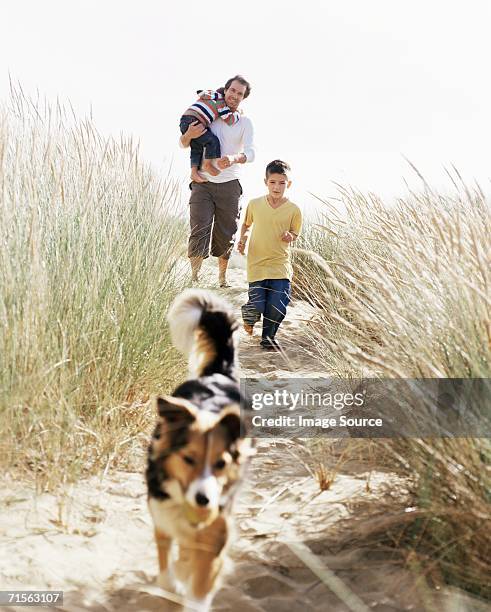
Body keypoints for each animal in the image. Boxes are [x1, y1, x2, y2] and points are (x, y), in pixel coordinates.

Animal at [145, 288, 254, 612]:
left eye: (221, 464)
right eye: (188, 459)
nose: (204, 500)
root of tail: (219, 373)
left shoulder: (216, 531)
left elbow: (201, 583)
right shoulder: (162, 516)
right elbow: (166, 564)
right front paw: (173, 581)